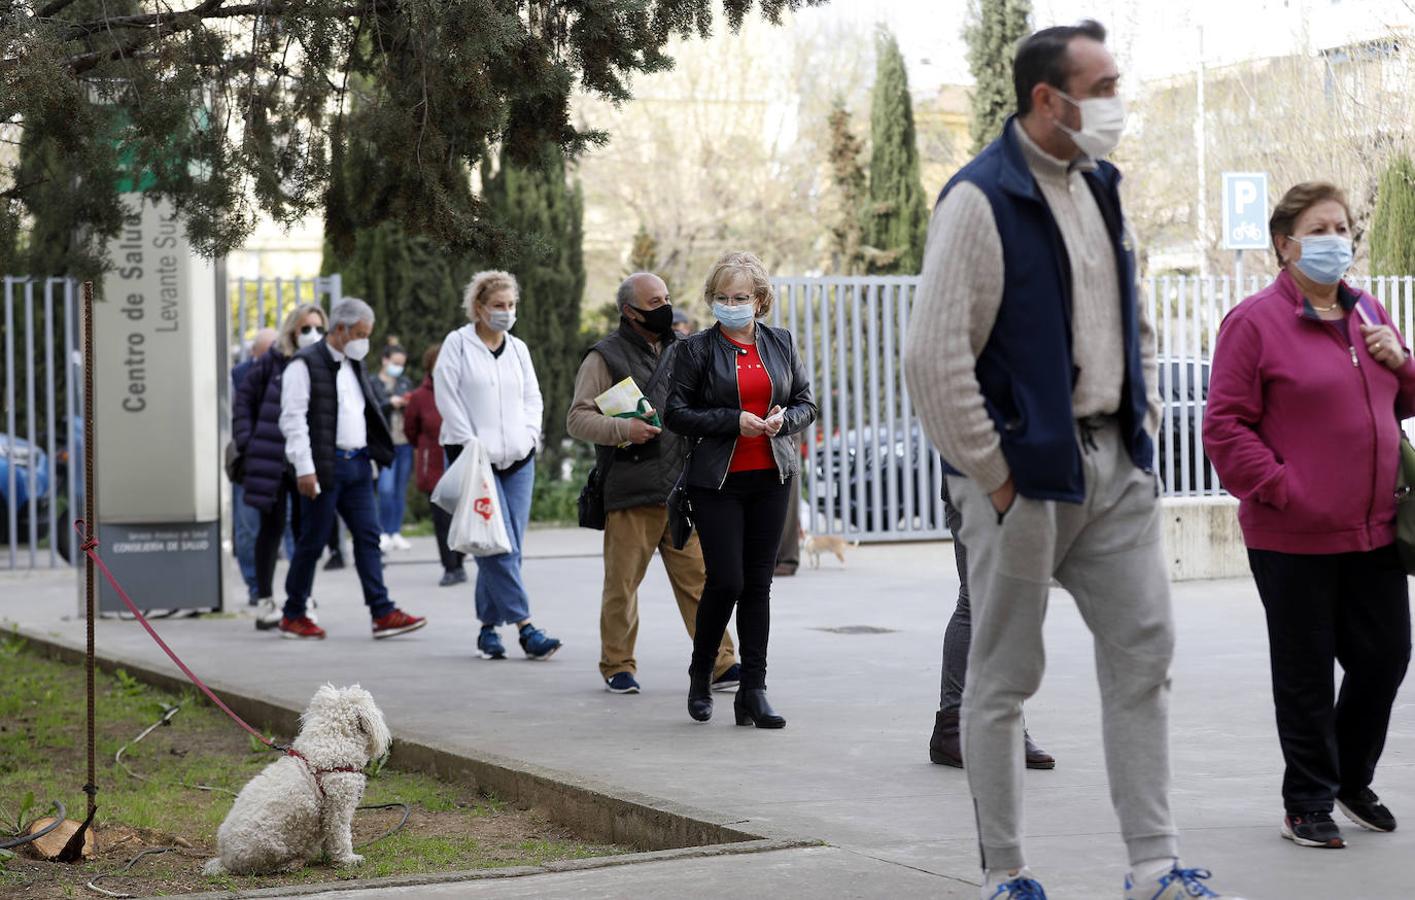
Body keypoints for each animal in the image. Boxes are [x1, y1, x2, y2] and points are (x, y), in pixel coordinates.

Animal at [203, 684, 393, 877]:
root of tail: (226, 861)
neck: (332, 744)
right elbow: (341, 835)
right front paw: (348, 859)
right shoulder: (338, 806)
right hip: (272, 845)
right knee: (265, 867)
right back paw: (291, 863)